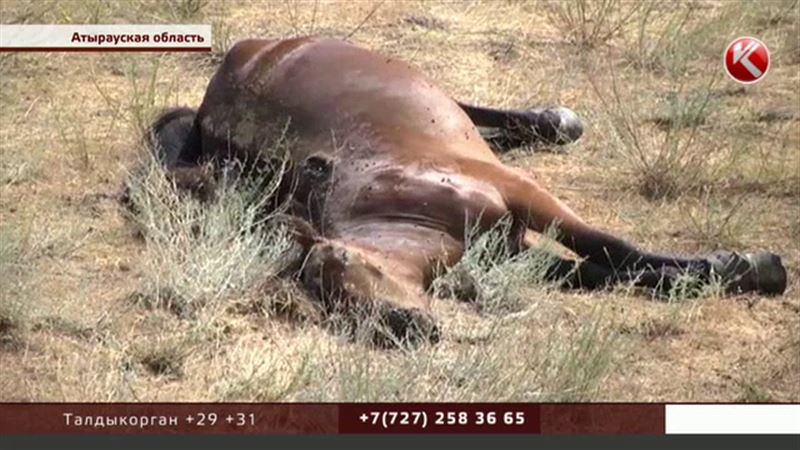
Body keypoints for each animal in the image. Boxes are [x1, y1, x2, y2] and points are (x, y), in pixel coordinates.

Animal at [144, 37, 788, 342]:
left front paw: (755, 266)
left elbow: (614, 247)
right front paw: (735, 270)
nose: (403, 326)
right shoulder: (514, 251)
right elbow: (612, 271)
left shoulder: (525, 194)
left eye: (343, 266)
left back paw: (555, 119)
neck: (405, 203)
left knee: (471, 106)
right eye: (325, 300)